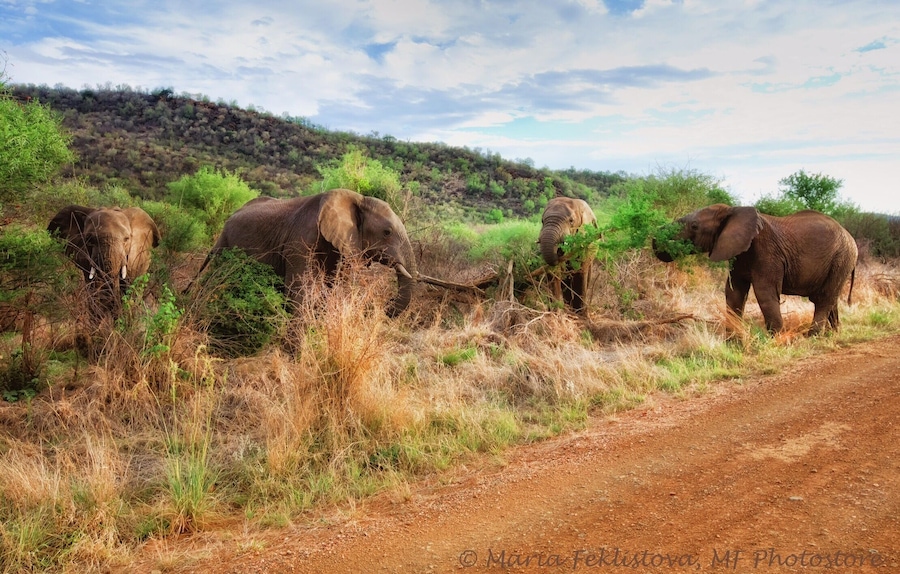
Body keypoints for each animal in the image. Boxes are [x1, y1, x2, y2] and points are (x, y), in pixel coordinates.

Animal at [195, 188, 418, 317]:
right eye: (387, 232)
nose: (385, 305)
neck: (358, 199)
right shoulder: (300, 241)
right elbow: (299, 290)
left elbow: (332, 286)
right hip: (225, 245)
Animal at [654, 204, 858, 334]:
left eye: (695, 226)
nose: (655, 240)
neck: (732, 210)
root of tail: (850, 237)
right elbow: (734, 293)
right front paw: (733, 344)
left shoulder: (767, 252)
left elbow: (764, 293)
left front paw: (776, 341)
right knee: (830, 298)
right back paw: (832, 335)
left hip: (841, 259)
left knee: (823, 298)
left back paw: (813, 337)